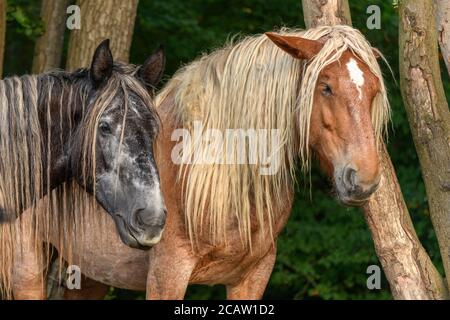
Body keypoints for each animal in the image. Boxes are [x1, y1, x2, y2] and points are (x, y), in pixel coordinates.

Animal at [5, 25, 388, 300]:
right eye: (326, 87)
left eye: (372, 91)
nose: (364, 178)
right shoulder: (168, 273)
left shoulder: (253, 277)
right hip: (26, 268)